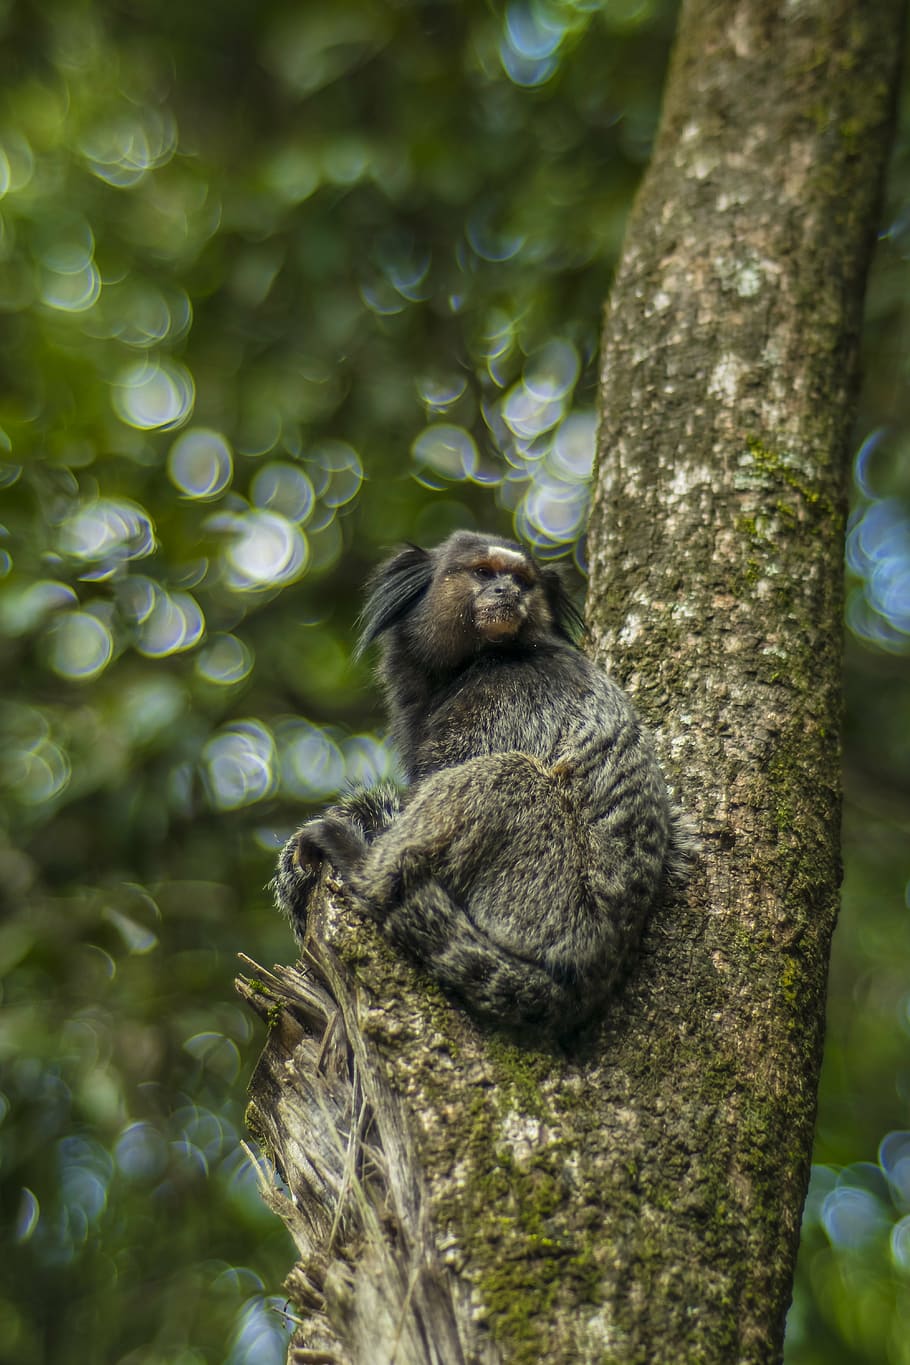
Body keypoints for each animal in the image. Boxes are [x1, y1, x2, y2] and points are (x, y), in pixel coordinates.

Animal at [272, 529, 695, 1033]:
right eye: (484, 572)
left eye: (522, 581)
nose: (507, 591)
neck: (475, 662)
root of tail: (591, 968)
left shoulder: (509, 696)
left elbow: (444, 778)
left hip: (543, 897)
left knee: (508, 776)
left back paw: (364, 867)